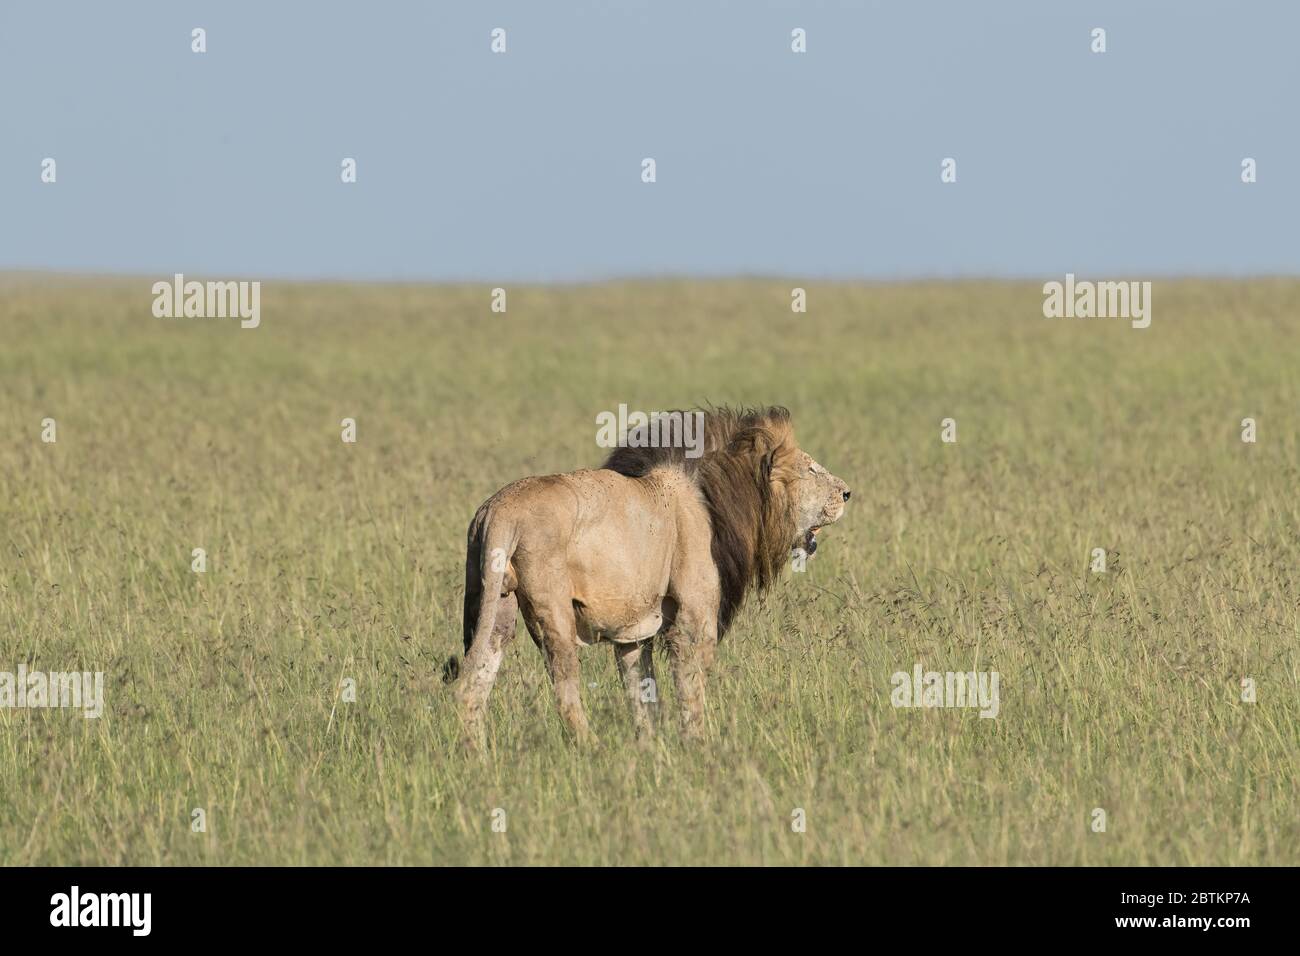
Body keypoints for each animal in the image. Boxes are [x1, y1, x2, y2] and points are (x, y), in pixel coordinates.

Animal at [452, 408, 847, 743]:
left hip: (494, 603)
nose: (847, 492)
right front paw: (696, 745)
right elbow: (690, 688)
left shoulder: (634, 632)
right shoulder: (694, 619)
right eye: (812, 471)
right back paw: (591, 749)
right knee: (564, 690)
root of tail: (500, 511)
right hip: (553, 610)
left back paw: (476, 758)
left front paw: (651, 747)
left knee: (473, 684)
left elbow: (641, 693)